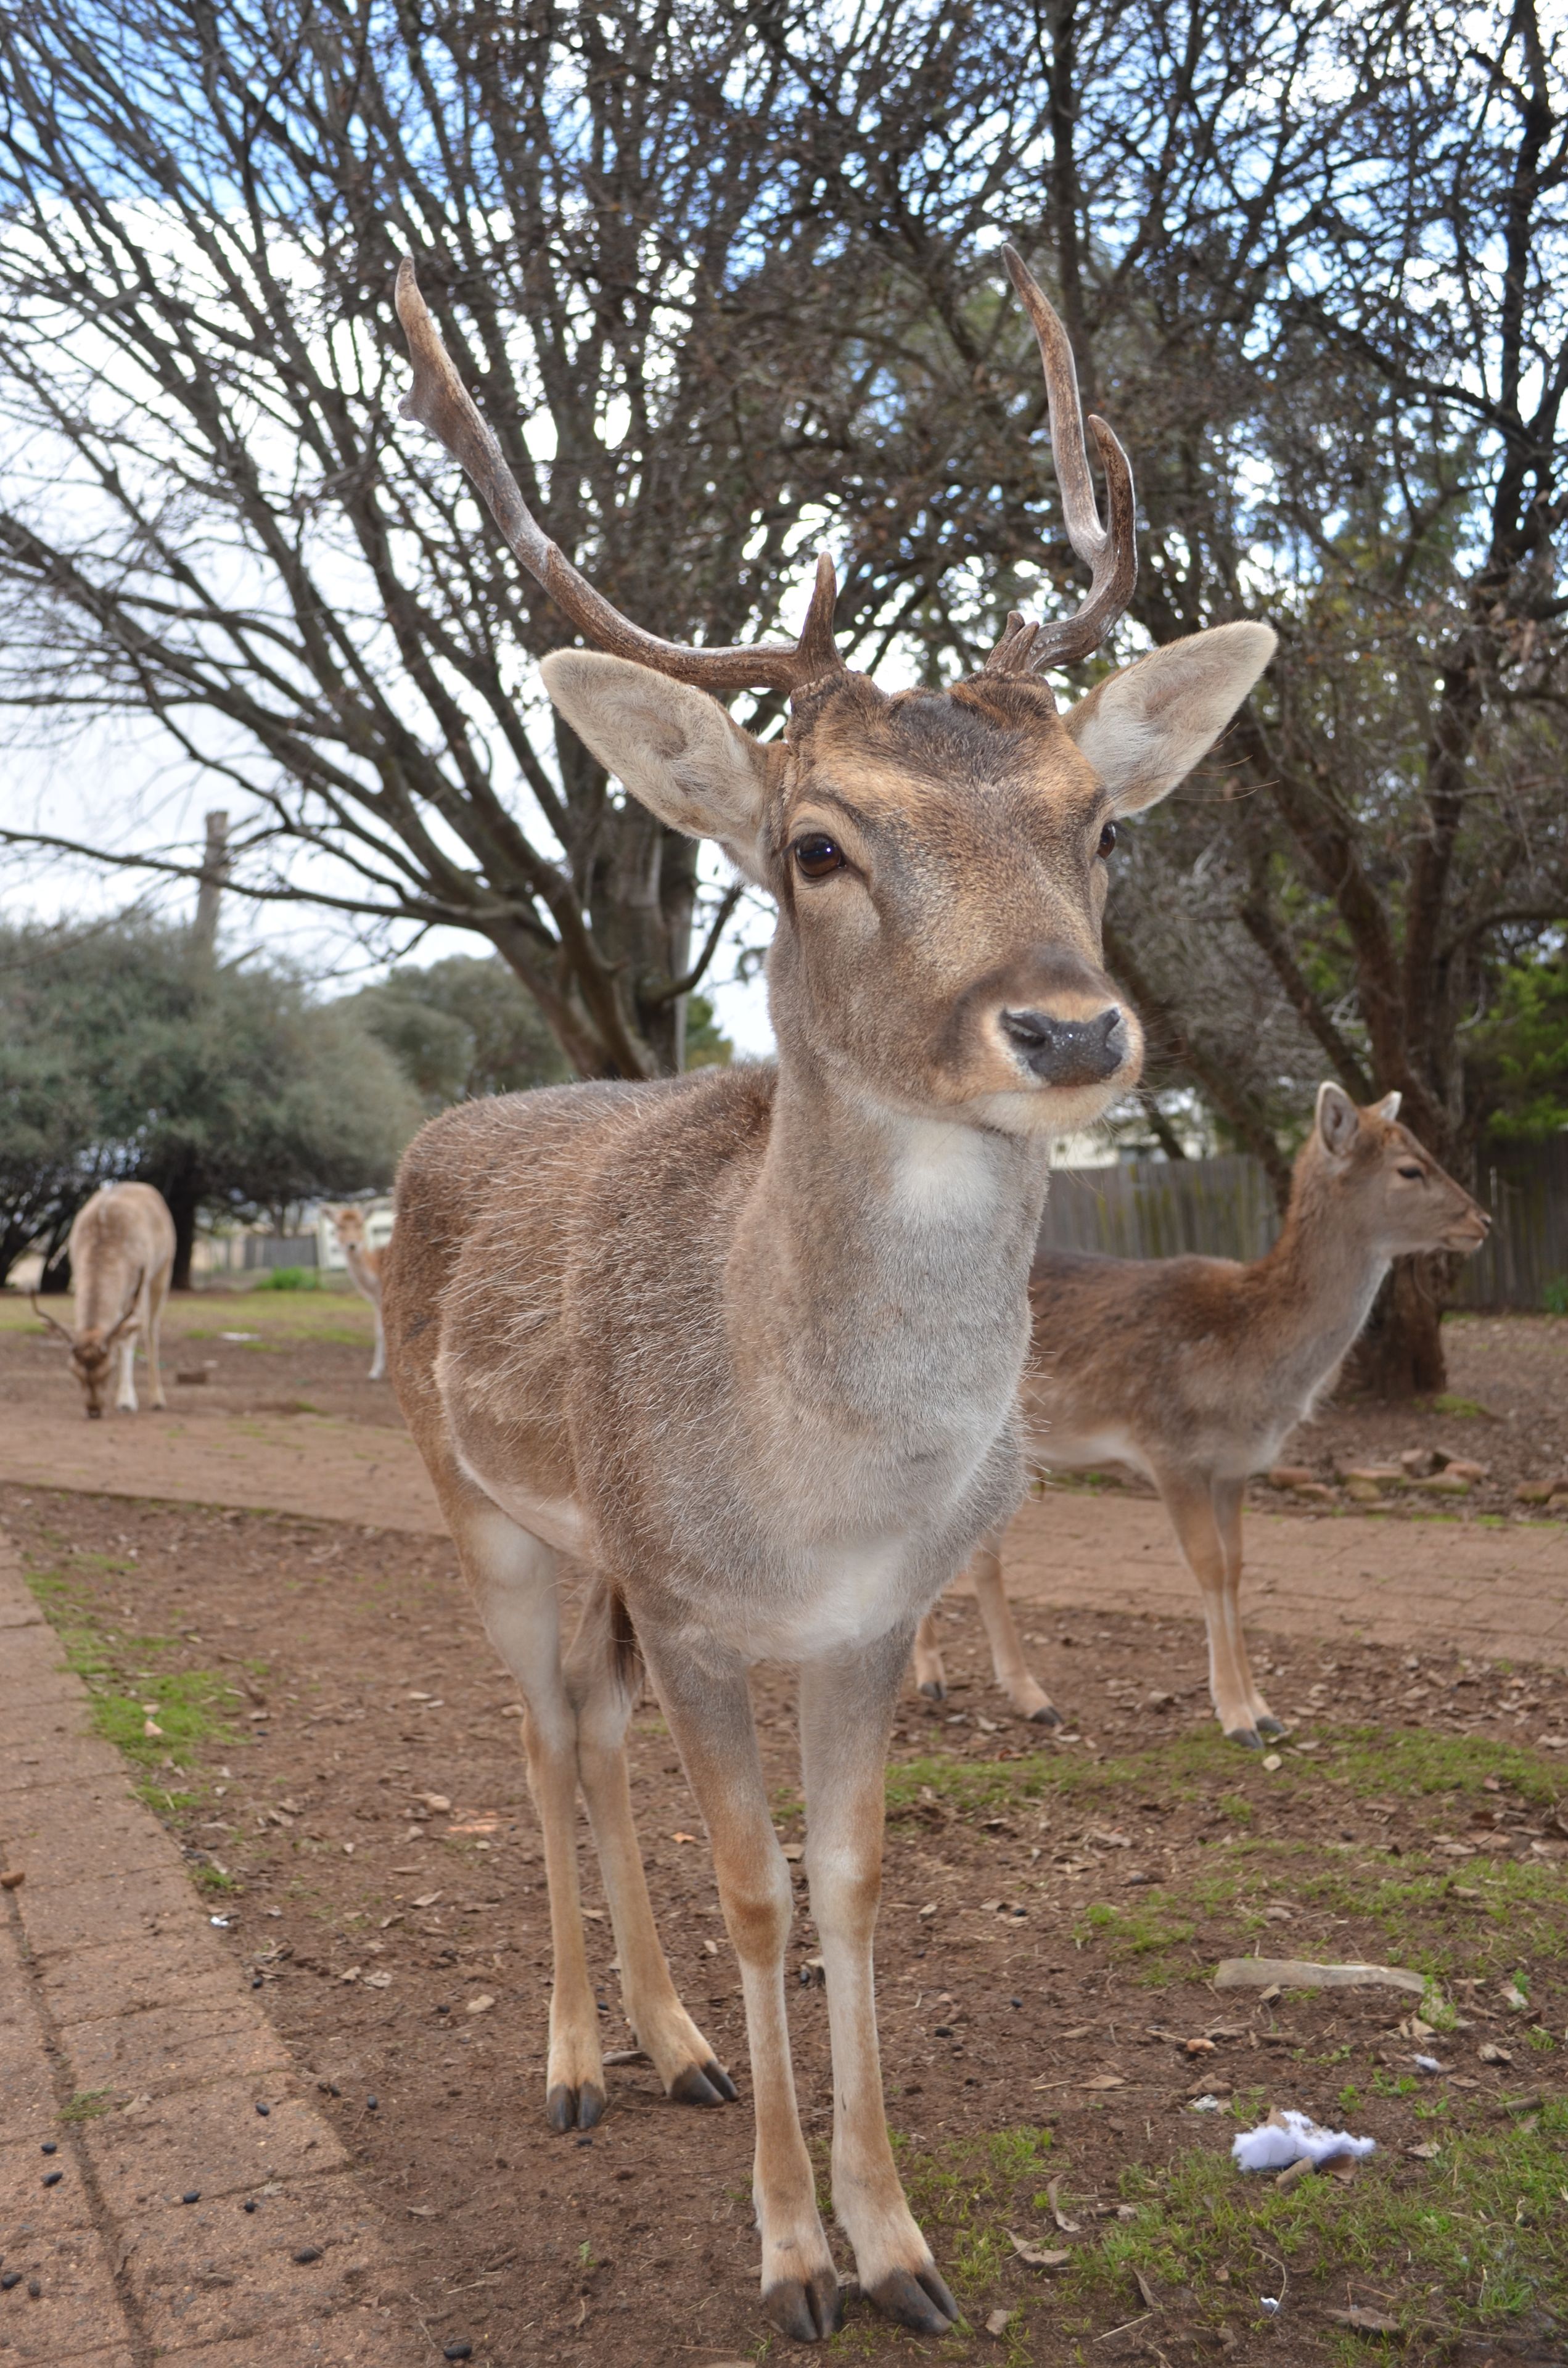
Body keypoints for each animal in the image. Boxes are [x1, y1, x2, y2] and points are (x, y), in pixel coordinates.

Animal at [32, 1181, 176, 1419]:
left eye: (109, 1370)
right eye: (74, 1371)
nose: (94, 1409)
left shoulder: (138, 1283)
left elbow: (129, 1337)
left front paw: (126, 1401)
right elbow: (117, 1336)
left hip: (163, 1270)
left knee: (151, 1329)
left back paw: (157, 1399)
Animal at [323, 1205, 388, 1379]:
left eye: (360, 1224)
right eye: (339, 1226)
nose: (352, 1245)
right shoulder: (377, 1302)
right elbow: (379, 1332)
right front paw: (375, 1372)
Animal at [382, 246, 1273, 2342]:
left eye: (1098, 823)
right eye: (812, 845)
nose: (1068, 1028)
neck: (819, 1491)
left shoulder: (871, 1616)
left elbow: (853, 1879)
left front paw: (897, 2242)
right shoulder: (704, 1605)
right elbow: (758, 1884)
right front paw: (789, 2258)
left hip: (597, 1556)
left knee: (590, 1737)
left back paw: (678, 2046)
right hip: (479, 1504)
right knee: (534, 1739)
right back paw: (573, 2060)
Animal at [911, 1083, 1490, 1746]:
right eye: (1409, 1168)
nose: (1481, 1221)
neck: (1247, 1364)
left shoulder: (1234, 1466)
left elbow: (1235, 1567)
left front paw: (1265, 1709)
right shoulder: (1169, 1450)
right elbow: (1207, 1567)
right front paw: (1235, 1717)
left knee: (975, 1548)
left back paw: (1016, 1693)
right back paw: (939, 1679)